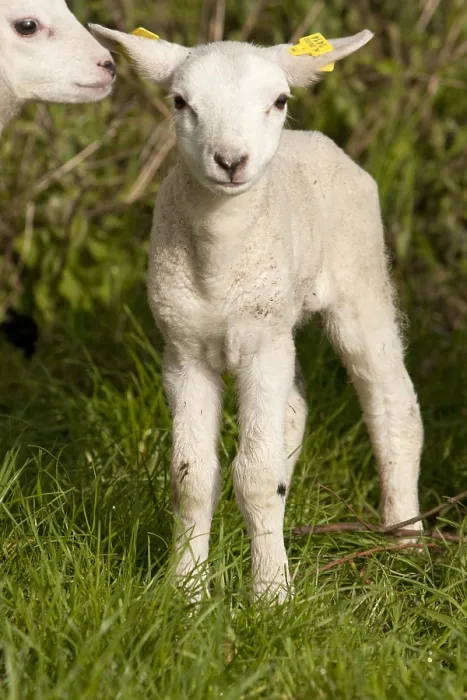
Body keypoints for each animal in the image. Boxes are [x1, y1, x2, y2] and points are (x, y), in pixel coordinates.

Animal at [90, 25, 424, 602]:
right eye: (180, 102)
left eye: (279, 101)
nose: (230, 161)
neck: (221, 260)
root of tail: (313, 139)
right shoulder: (184, 351)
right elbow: (192, 477)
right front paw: (186, 590)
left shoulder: (261, 345)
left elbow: (255, 477)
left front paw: (270, 595)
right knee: (294, 410)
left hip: (359, 279)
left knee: (392, 402)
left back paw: (407, 541)